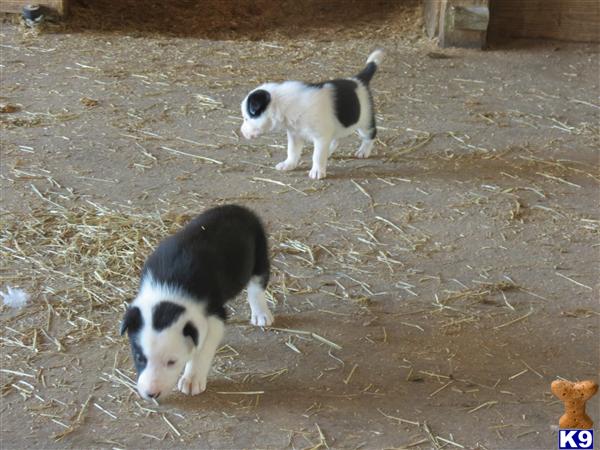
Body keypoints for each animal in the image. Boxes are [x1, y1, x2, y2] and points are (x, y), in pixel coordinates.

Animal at [120, 206, 274, 400]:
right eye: (140, 358)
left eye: (172, 362)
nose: (151, 394)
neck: (169, 287)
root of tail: (239, 208)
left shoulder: (215, 315)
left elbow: (202, 350)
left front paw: (192, 379)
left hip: (260, 253)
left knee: (256, 287)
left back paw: (261, 314)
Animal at [240, 49, 384, 179]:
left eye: (247, 118)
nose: (241, 132)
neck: (284, 105)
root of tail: (359, 80)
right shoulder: (295, 135)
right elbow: (292, 151)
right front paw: (289, 164)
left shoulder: (320, 137)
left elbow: (317, 156)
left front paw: (317, 171)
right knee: (335, 140)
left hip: (365, 122)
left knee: (370, 135)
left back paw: (363, 151)